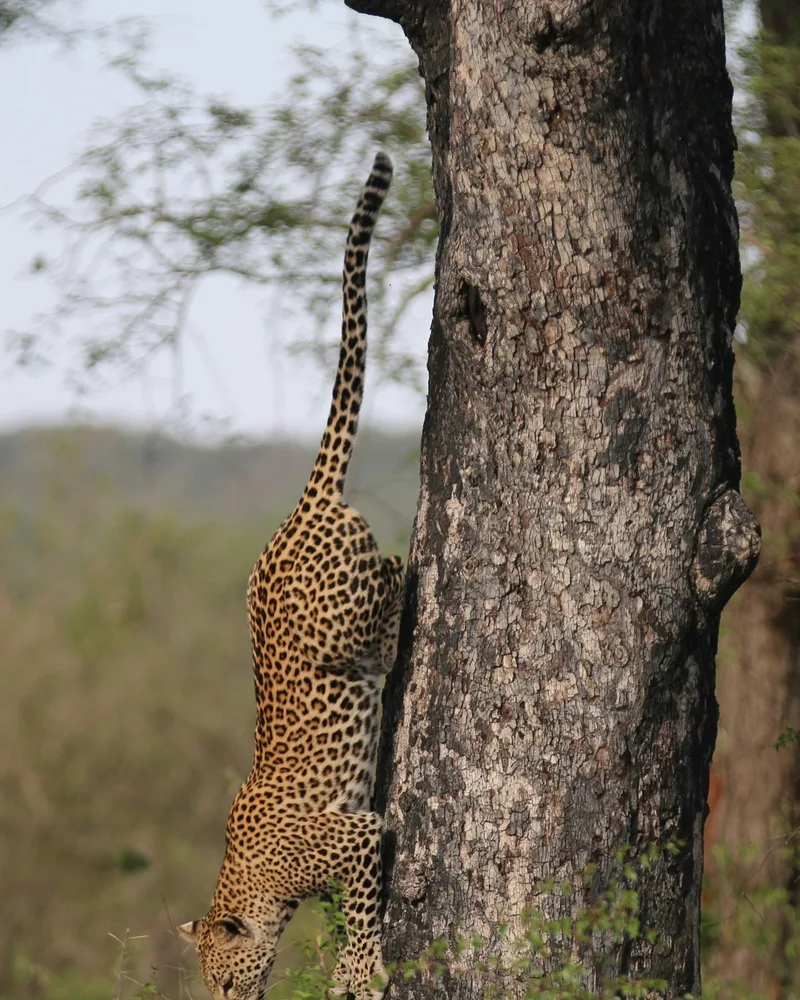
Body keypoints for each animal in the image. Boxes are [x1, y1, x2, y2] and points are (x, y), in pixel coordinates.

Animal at [178, 152, 403, 1000]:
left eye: (226, 983)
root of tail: (301, 507)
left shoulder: (362, 832)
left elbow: (364, 909)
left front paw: (358, 970)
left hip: (347, 613)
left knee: (395, 576)